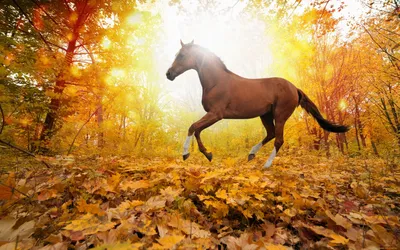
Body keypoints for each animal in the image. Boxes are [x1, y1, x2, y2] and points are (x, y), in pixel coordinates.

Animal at [166, 40, 350, 168]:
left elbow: (193, 127)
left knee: (278, 140)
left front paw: (186, 154)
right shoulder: (213, 115)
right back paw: (251, 154)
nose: (169, 74)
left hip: (280, 115)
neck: (217, 82)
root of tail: (294, 88)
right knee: (271, 134)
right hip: (265, 115)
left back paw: (266, 165)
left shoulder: (216, 114)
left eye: (181, 55)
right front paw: (208, 154)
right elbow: (197, 129)